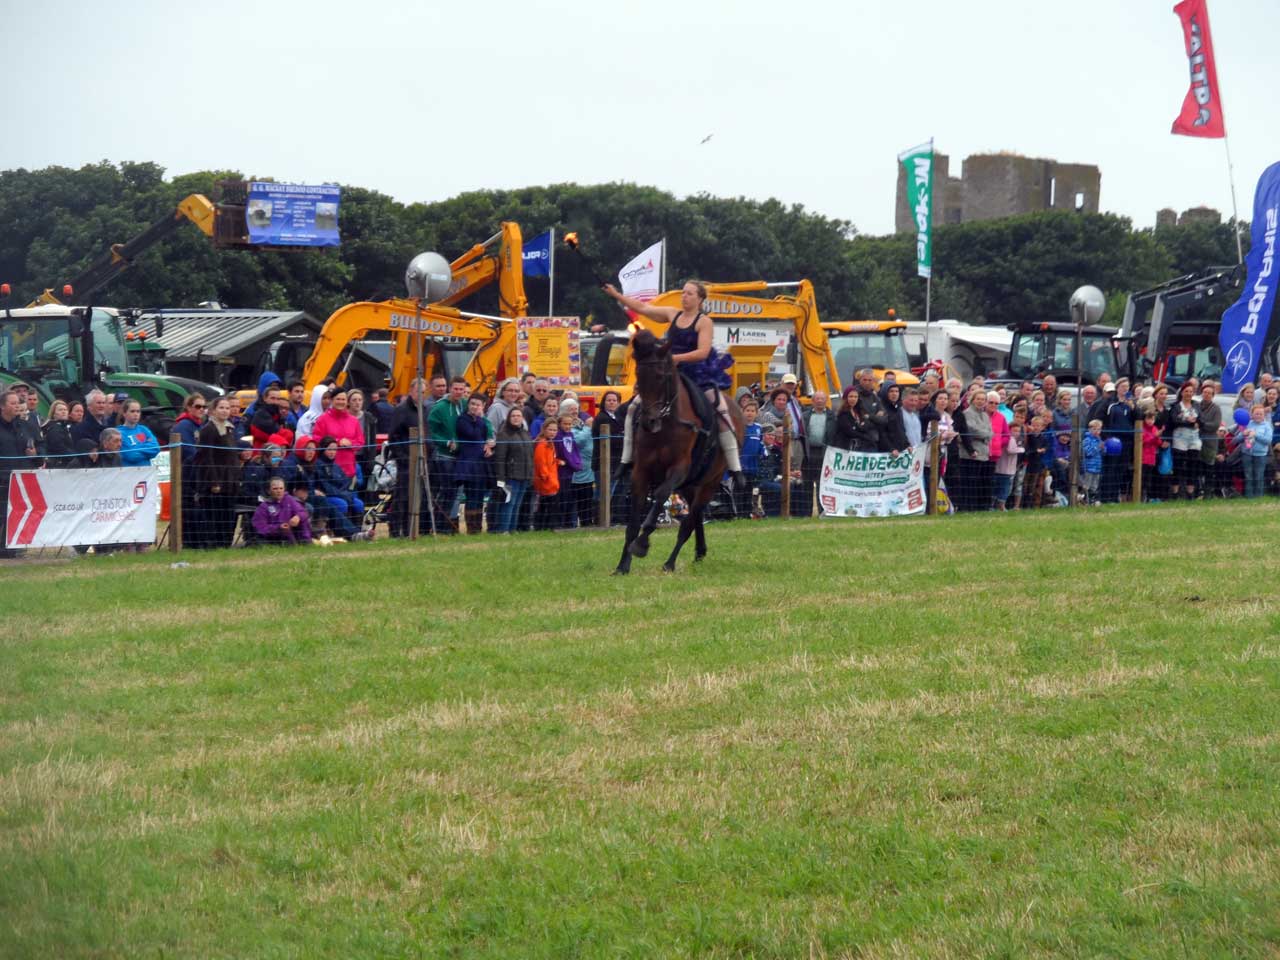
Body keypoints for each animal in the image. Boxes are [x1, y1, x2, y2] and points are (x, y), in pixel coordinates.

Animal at [614, 330, 747, 578]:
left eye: (661, 376)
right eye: (639, 375)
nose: (648, 422)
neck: (666, 425)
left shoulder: (678, 470)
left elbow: (660, 497)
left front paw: (642, 544)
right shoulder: (641, 472)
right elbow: (633, 523)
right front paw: (622, 565)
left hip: (709, 482)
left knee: (689, 522)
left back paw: (670, 562)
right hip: (690, 485)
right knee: (696, 517)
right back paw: (699, 552)